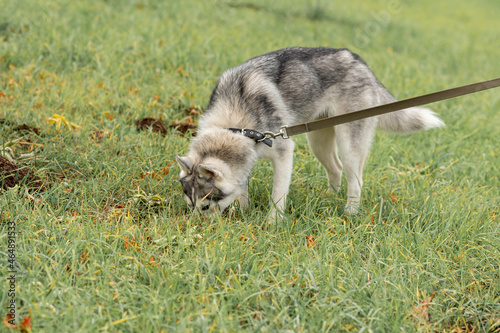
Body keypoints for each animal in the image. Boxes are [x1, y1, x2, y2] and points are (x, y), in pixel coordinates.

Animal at [177, 47, 446, 218]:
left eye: (205, 207)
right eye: (189, 205)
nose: (196, 227)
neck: (235, 123)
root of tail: (360, 63)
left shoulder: (284, 151)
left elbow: (278, 195)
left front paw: (272, 222)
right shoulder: (247, 158)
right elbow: (242, 188)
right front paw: (243, 212)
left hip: (349, 143)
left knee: (356, 180)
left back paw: (350, 213)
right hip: (317, 140)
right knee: (336, 169)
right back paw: (329, 197)